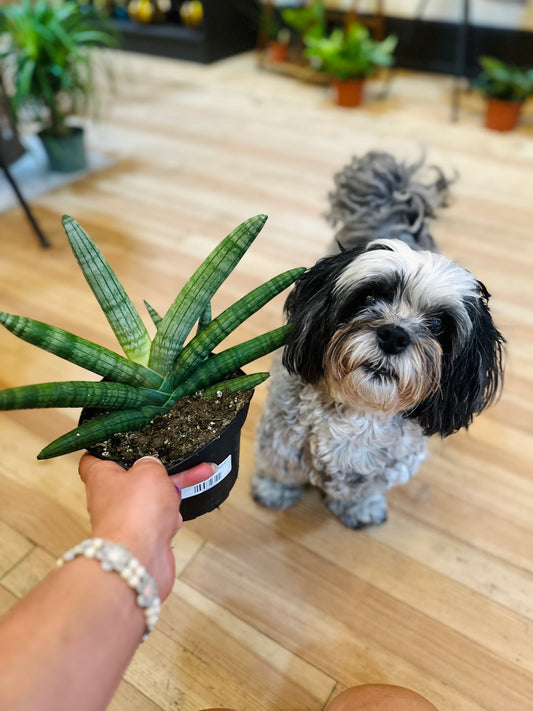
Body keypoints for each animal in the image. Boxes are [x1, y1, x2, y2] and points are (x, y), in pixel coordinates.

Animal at [252, 152, 502, 528]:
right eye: (369, 297)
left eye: (438, 325)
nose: (394, 335)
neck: (360, 412)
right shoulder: (280, 438)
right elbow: (279, 468)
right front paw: (275, 490)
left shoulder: (390, 468)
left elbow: (363, 490)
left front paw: (360, 508)